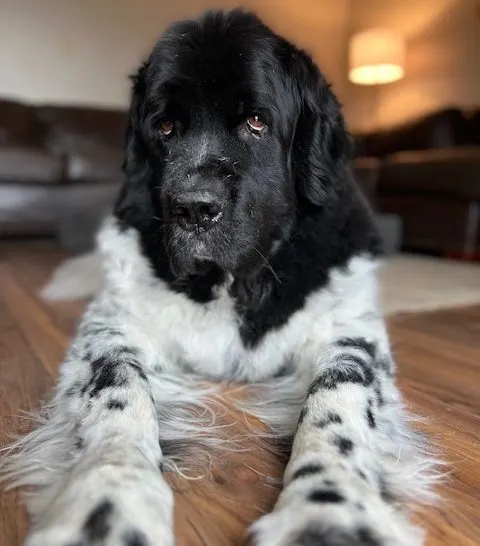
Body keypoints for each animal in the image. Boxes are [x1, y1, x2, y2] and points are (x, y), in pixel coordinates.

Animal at [2, 8, 438, 544]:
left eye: (256, 121)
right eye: (166, 127)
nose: (193, 207)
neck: (235, 282)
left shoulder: (351, 330)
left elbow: (339, 397)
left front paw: (330, 511)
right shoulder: (111, 325)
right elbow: (117, 390)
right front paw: (107, 501)